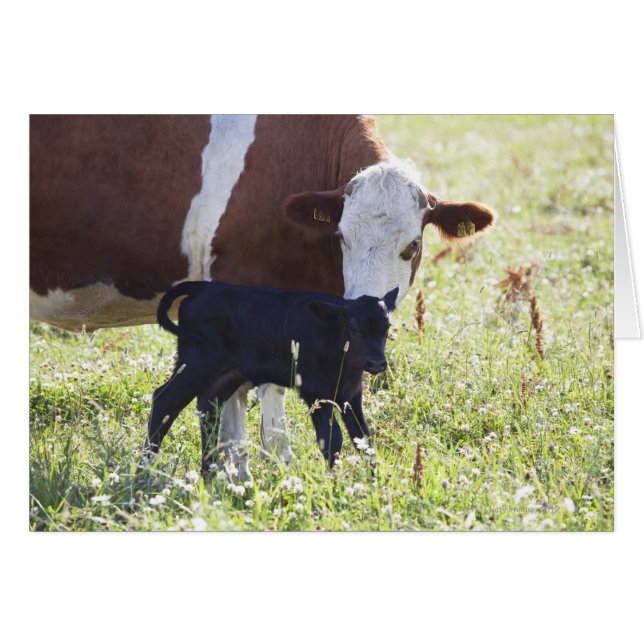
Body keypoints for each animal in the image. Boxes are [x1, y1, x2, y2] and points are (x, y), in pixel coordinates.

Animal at [148, 281, 398, 472]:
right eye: (355, 329)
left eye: (386, 328)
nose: (377, 363)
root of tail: (201, 287)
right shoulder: (314, 392)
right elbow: (331, 439)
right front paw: (334, 480)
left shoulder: (350, 396)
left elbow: (362, 438)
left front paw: (373, 480)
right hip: (196, 363)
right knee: (164, 400)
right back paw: (147, 467)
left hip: (228, 373)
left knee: (208, 405)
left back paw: (208, 472)